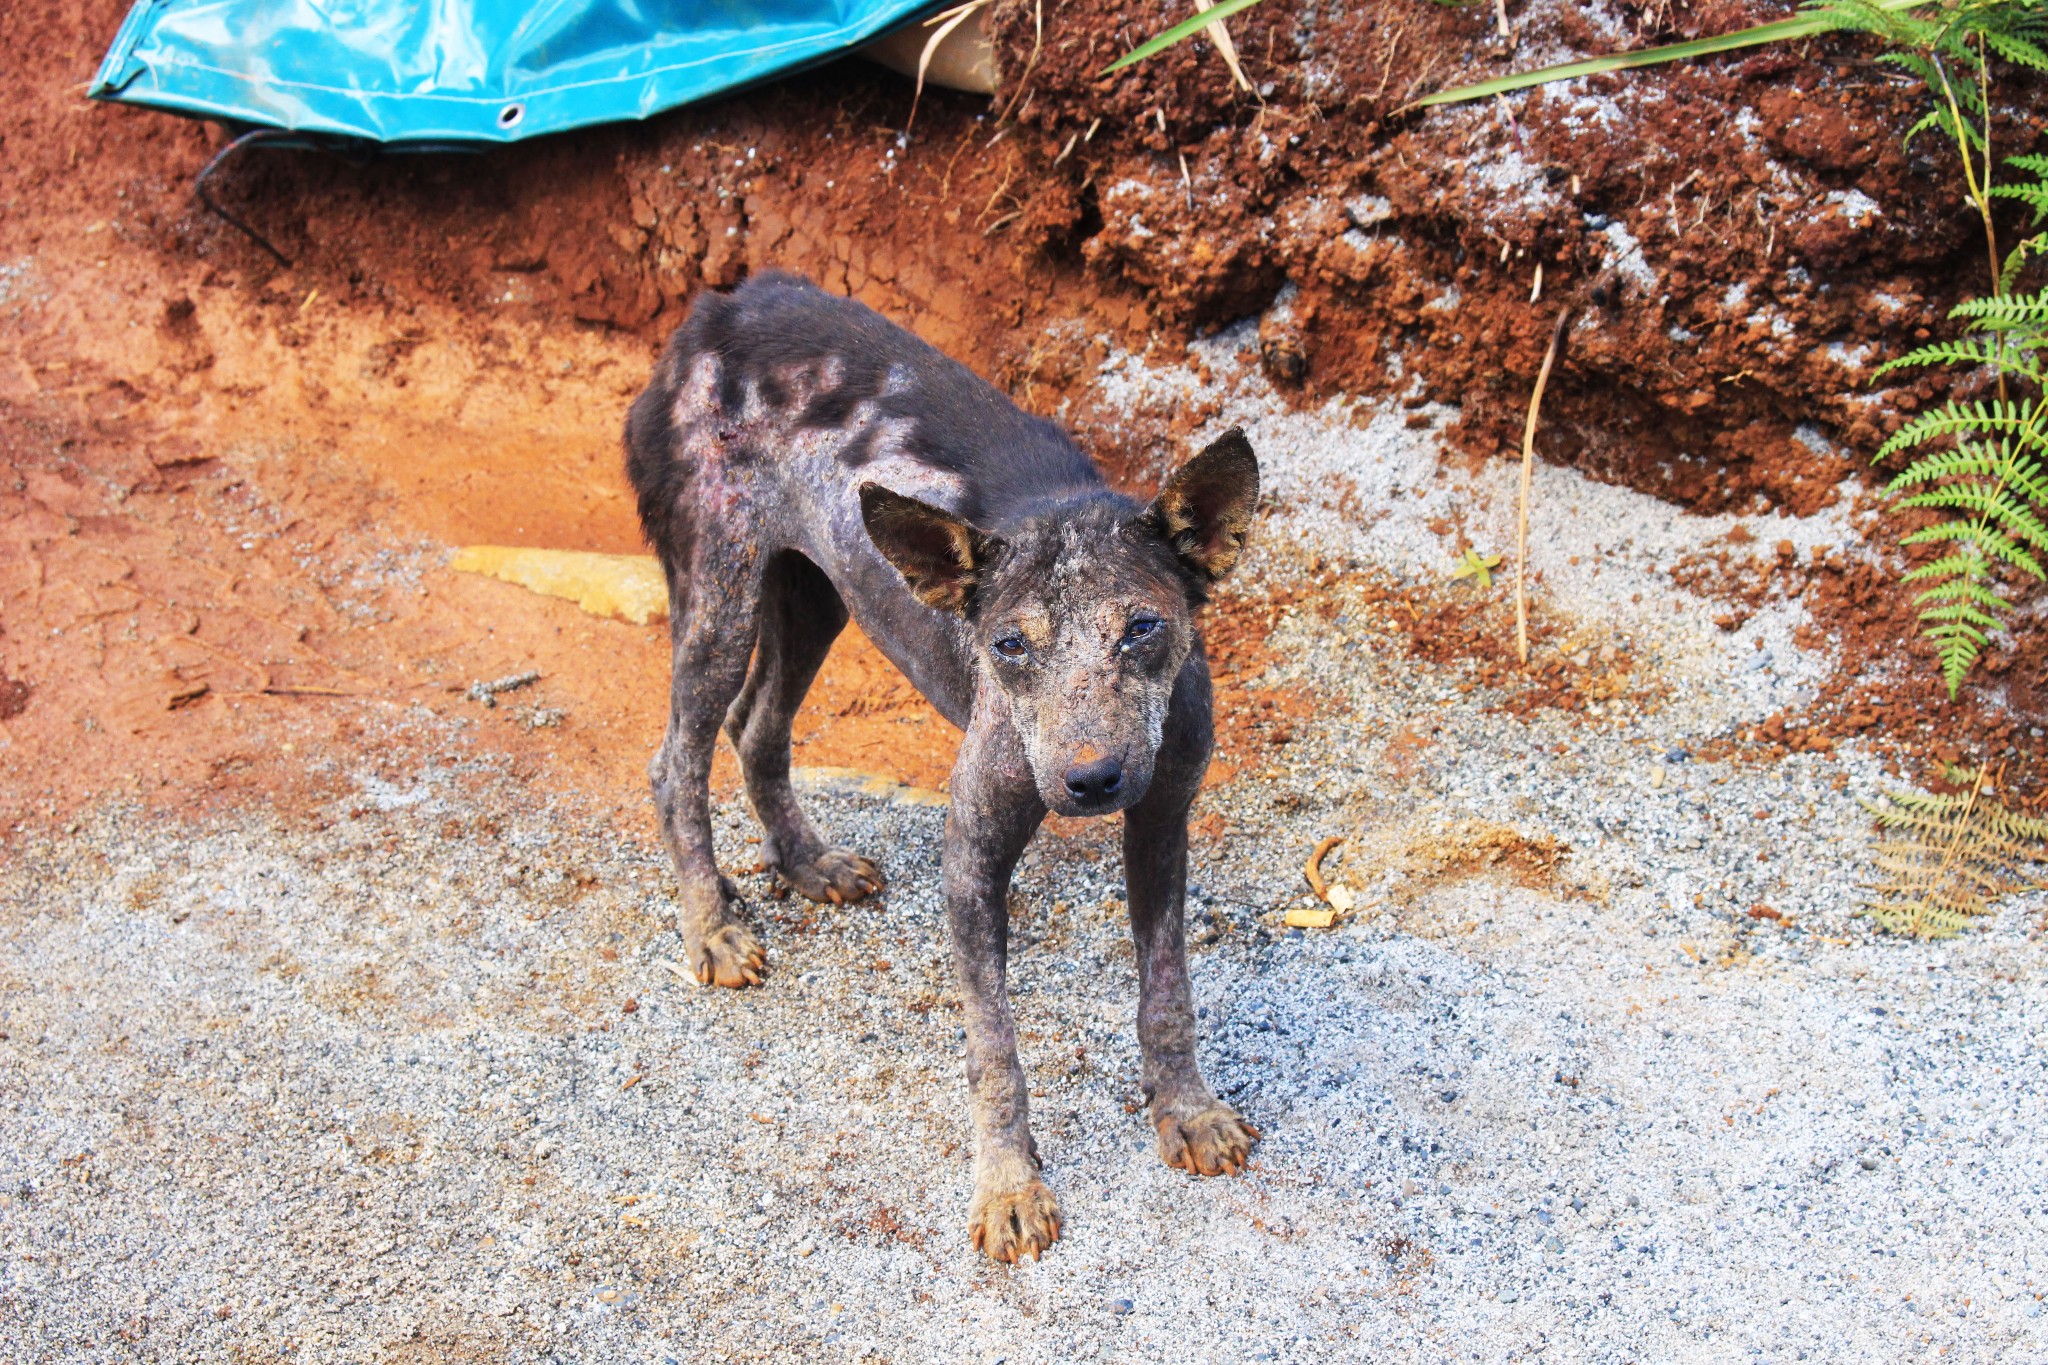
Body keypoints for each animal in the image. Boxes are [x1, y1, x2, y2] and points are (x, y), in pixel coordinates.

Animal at [622, 272, 1261, 1268]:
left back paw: (806, 862)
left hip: (822, 588)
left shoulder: (1163, 824)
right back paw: (711, 924)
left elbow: (1168, 992)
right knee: (674, 761)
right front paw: (1008, 1184)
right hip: (722, 595)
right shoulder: (970, 863)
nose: (1091, 781)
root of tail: (716, 308)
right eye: (1008, 645)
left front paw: (1185, 1109)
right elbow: (994, 1048)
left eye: (1143, 627)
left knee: (755, 726)